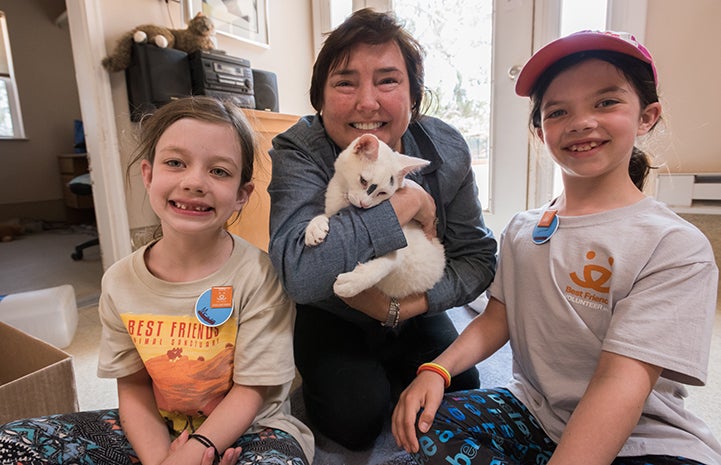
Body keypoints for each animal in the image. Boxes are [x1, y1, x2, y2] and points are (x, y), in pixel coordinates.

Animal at [304, 133, 444, 298]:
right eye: (363, 181)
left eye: (382, 193)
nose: (364, 204)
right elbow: (323, 215)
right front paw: (314, 228)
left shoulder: (405, 241)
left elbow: (391, 261)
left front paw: (355, 282)